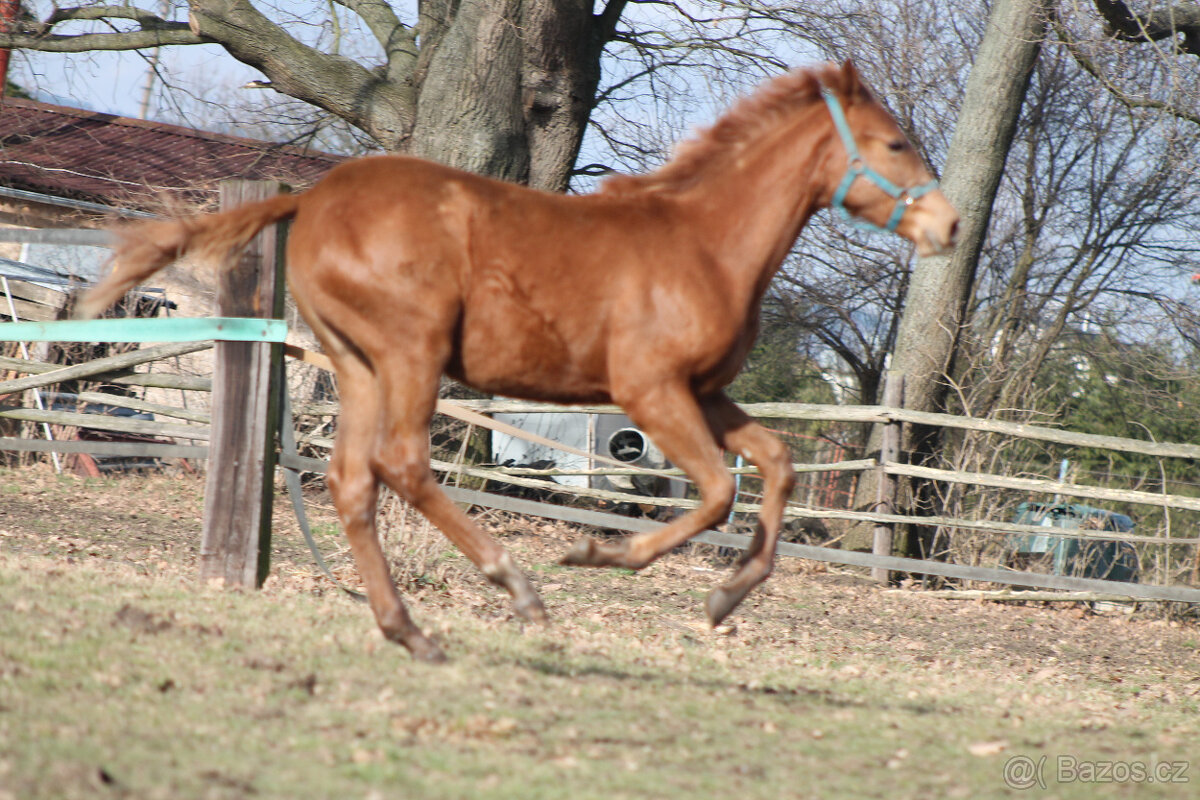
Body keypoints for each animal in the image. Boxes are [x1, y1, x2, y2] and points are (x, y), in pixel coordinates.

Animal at [77, 61, 955, 662]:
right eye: (895, 142)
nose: (947, 226)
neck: (703, 243)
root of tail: (312, 199)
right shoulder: (649, 391)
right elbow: (711, 493)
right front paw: (600, 554)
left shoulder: (701, 393)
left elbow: (773, 463)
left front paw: (726, 597)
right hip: (412, 354)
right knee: (404, 463)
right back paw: (519, 589)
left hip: (359, 364)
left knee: (354, 481)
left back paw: (411, 631)